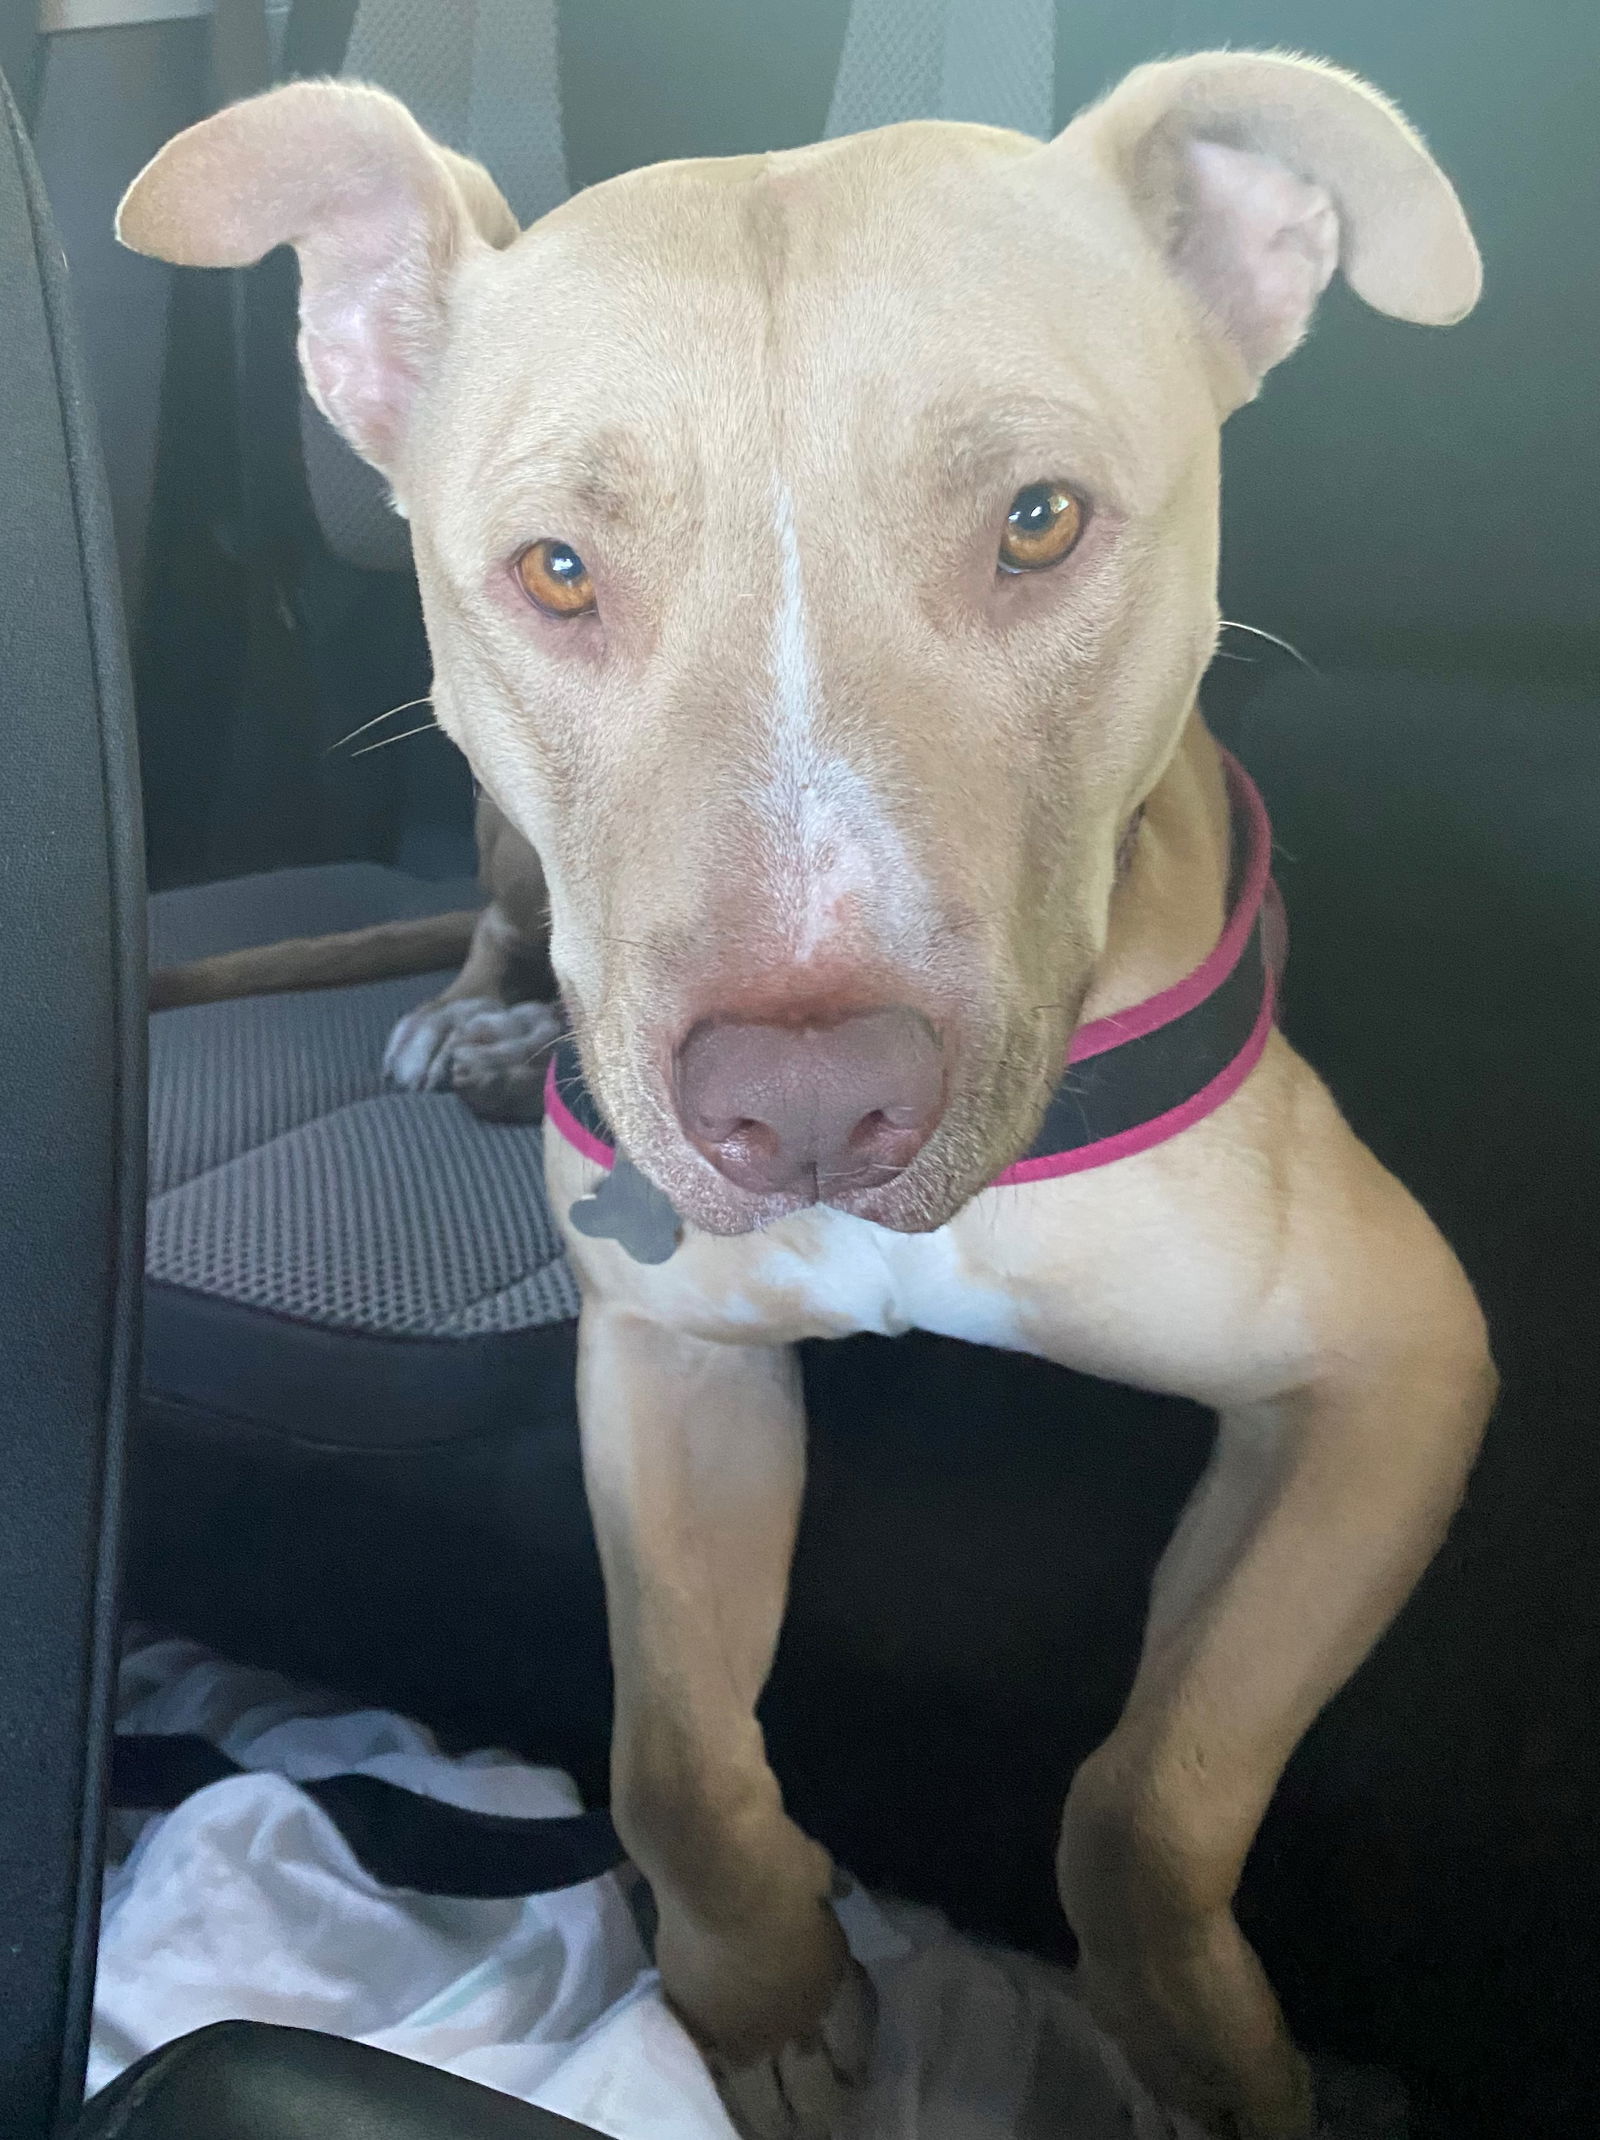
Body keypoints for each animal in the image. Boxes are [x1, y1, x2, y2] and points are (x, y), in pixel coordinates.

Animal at [118, 54, 1497, 2140]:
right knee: (499, 921)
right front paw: (763, 1997)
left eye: (1039, 521)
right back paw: (482, 1029)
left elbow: (1151, 1789)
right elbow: (668, 1749)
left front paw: (1213, 2056)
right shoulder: (668, 1364)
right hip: (498, 833)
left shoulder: (1392, 1372)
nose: (809, 1104)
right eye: (556, 568)